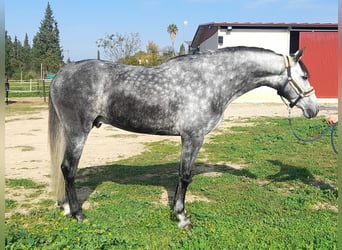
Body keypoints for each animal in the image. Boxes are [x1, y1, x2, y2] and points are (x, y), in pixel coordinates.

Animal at [49, 46, 320, 228]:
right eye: (304, 76)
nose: (314, 109)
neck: (211, 80)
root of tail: (62, 72)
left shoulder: (186, 138)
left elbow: (180, 175)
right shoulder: (193, 137)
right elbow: (186, 176)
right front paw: (182, 217)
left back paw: (66, 208)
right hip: (78, 132)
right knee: (68, 169)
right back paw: (78, 214)